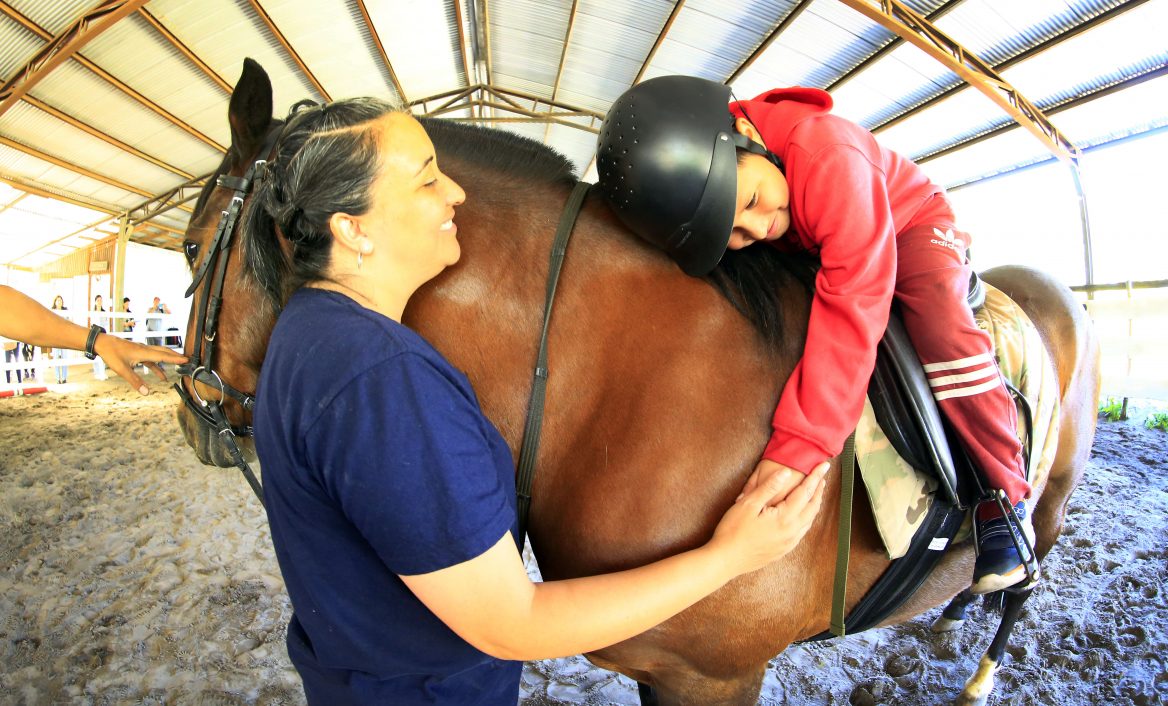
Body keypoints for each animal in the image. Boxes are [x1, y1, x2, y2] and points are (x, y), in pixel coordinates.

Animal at [177, 57, 1097, 701]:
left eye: (188, 249)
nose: (191, 412)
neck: (618, 384)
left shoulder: (714, 678)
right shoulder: (666, 666)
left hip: (1051, 494)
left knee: (1030, 568)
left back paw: (989, 623)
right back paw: (955, 606)